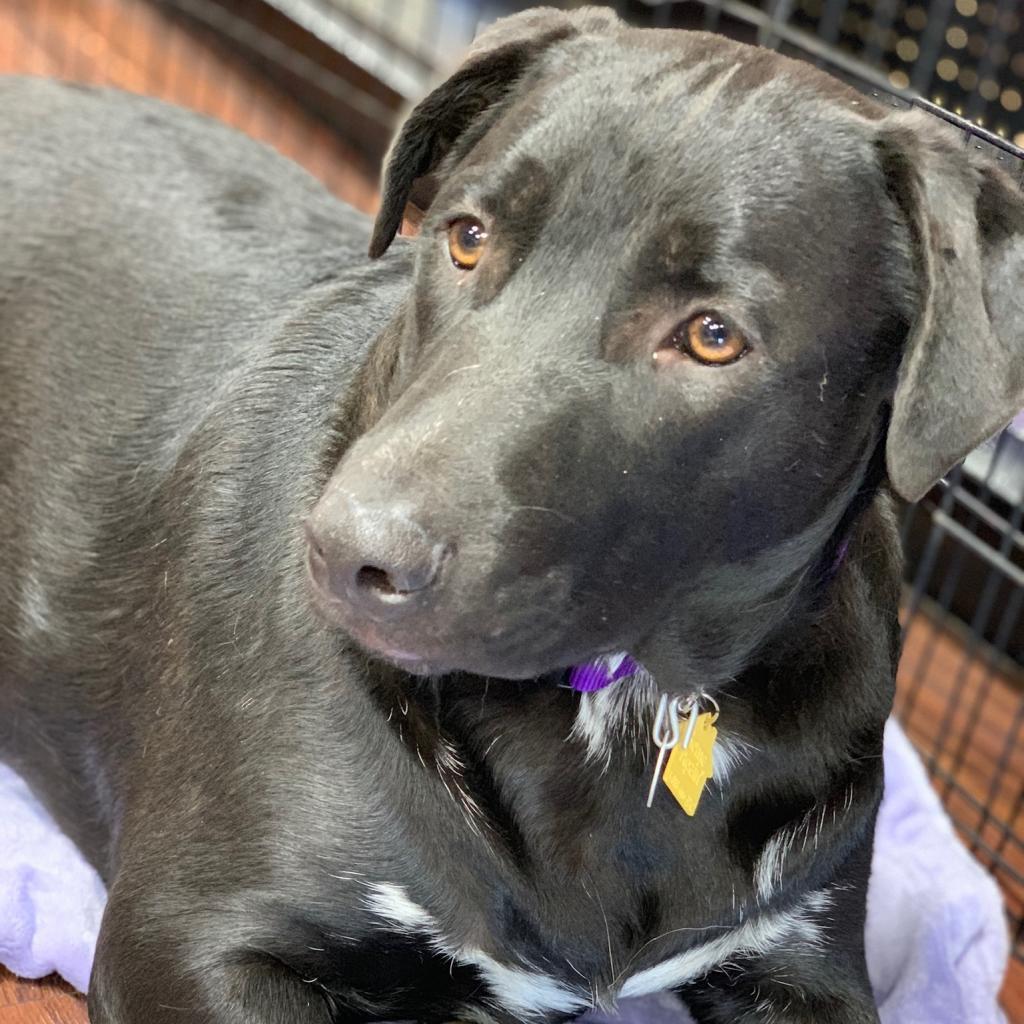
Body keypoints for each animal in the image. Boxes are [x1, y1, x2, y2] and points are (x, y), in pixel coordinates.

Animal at [0, 8, 1019, 1024]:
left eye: (711, 336)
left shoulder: (811, 967)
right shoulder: (185, 938)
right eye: (465, 237)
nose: (341, 553)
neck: (630, 705)